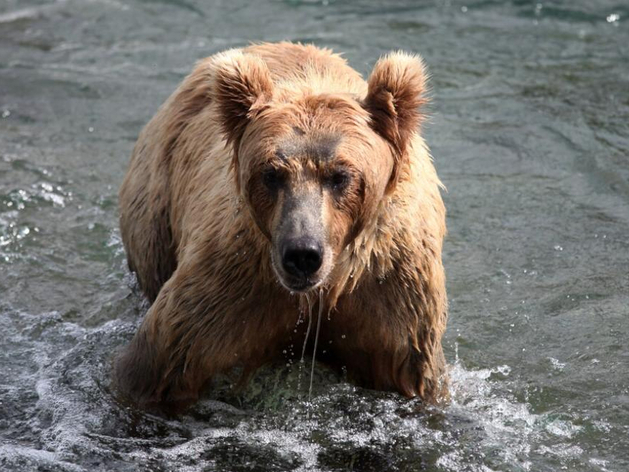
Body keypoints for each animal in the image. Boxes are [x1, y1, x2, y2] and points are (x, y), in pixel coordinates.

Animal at [115, 41, 448, 412]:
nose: (302, 254)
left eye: (340, 175)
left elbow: (410, 377)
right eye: (271, 173)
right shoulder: (232, 285)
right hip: (156, 205)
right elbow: (157, 366)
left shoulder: (390, 294)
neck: (321, 293)